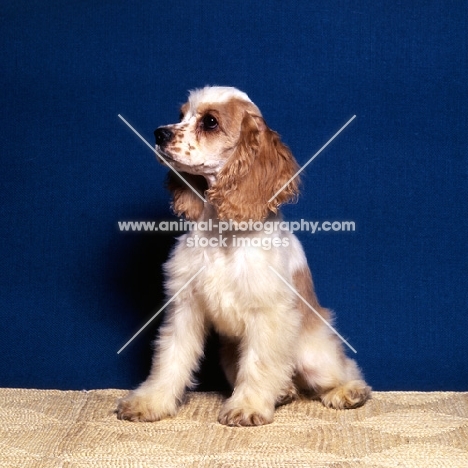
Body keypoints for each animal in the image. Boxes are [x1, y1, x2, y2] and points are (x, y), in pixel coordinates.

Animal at [116, 86, 370, 426]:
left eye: (210, 122)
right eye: (181, 114)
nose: (159, 133)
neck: (223, 231)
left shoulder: (268, 313)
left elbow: (259, 364)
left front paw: (246, 407)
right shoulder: (185, 307)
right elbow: (169, 358)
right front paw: (149, 401)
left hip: (313, 353)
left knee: (342, 370)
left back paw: (347, 392)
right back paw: (284, 392)